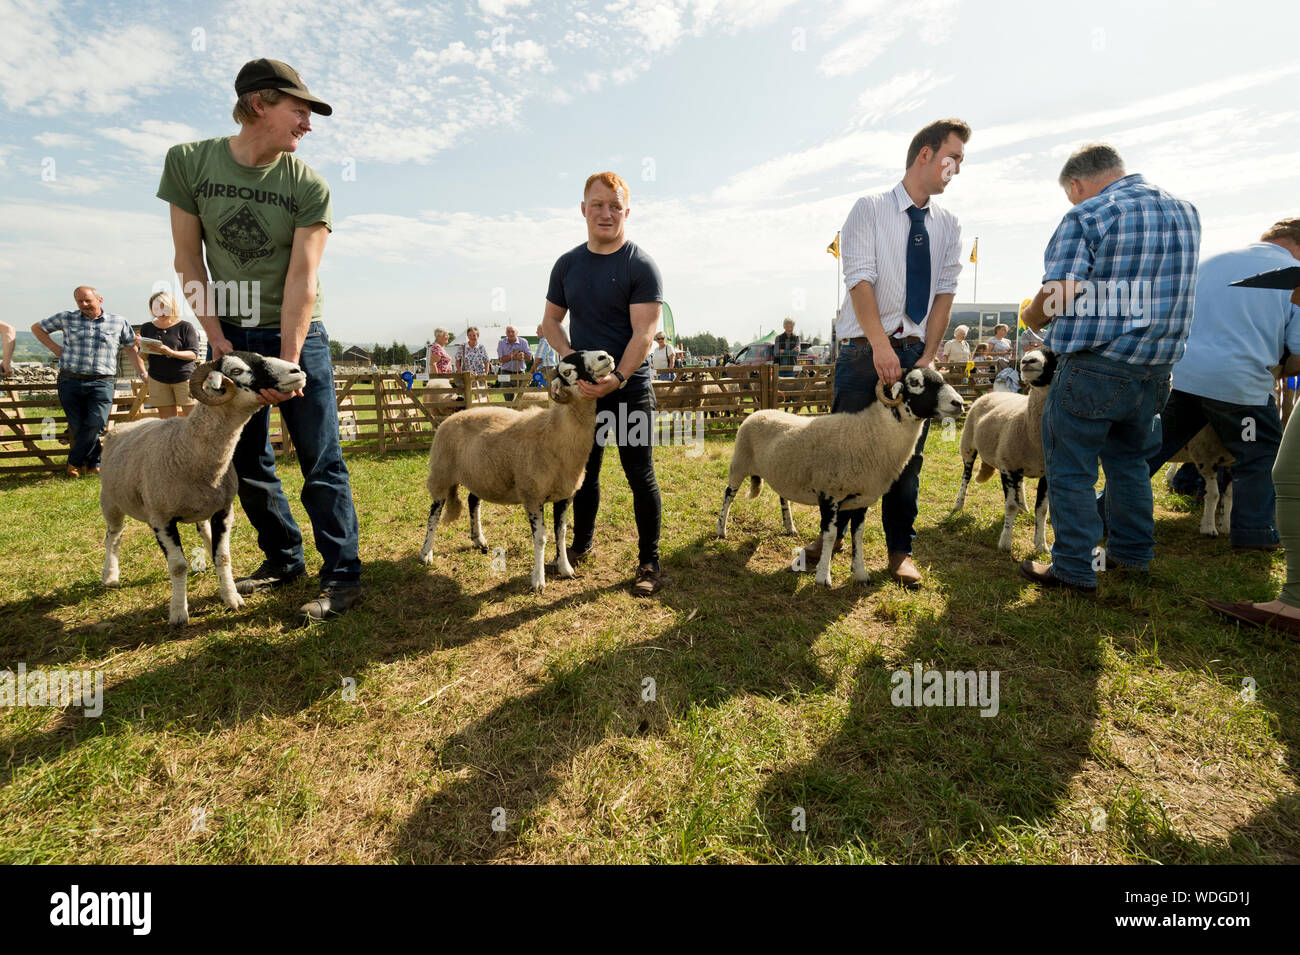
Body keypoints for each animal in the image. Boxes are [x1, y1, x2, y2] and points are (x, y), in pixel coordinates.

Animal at [100, 356, 306, 623]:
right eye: (236, 370)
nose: (297, 370)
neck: (185, 445)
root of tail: (124, 425)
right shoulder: (161, 519)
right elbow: (178, 566)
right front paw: (178, 613)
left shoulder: (224, 511)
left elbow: (223, 557)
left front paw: (231, 597)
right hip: (110, 502)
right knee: (113, 537)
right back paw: (110, 576)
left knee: (204, 531)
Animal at [418, 350, 616, 589]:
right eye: (567, 372)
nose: (604, 356)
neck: (554, 430)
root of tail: (452, 417)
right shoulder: (532, 494)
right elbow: (541, 538)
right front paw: (538, 580)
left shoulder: (564, 495)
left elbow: (561, 533)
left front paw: (565, 568)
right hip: (441, 472)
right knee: (434, 514)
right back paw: (426, 553)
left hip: (479, 475)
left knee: (473, 502)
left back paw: (479, 540)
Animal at [717, 366, 961, 587]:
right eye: (915, 383)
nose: (958, 403)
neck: (872, 432)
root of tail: (759, 411)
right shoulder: (829, 495)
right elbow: (830, 535)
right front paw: (823, 577)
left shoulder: (861, 499)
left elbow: (858, 534)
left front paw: (861, 573)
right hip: (739, 464)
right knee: (728, 496)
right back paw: (721, 530)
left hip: (780, 471)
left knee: (782, 496)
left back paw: (789, 527)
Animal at [951, 348, 1060, 553]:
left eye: (1055, 356)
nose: (1027, 361)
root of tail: (992, 393)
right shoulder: (1007, 468)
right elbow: (1010, 506)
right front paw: (1005, 543)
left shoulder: (1044, 473)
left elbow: (1042, 510)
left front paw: (1041, 545)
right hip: (968, 445)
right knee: (965, 477)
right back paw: (958, 504)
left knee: (1020, 485)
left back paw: (1024, 506)